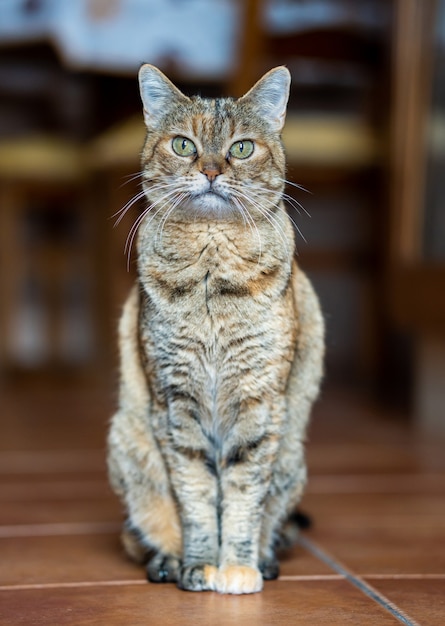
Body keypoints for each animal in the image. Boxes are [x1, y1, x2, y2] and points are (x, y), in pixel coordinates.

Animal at [106, 64, 322, 596]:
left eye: (241, 148)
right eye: (184, 145)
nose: (209, 170)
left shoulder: (259, 400)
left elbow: (243, 495)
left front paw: (238, 567)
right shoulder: (176, 402)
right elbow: (197, 496)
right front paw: (201, 563)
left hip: (291, 455)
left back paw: (265, 558)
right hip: (129, 442)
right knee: (136, 534)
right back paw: (166, 560)